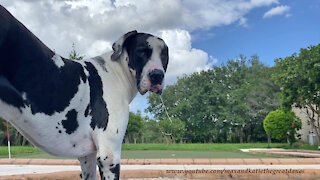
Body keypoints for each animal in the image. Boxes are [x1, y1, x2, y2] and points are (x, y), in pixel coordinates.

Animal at [0, 5, 169, 180]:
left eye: (164, 54)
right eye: (141, 51)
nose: (157, 75)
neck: (116, 72)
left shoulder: (88, 156)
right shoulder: (109, 155)